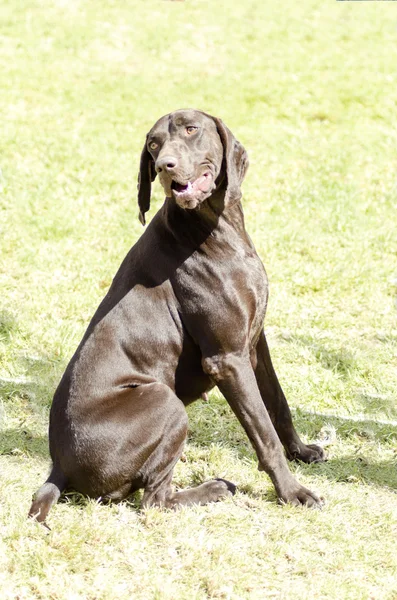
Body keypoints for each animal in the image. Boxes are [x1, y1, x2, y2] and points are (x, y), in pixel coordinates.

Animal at [29, 110, 324, 524]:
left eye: (191, 129)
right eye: (153, 144)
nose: (165, 167)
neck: (216, 228)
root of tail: (58, 467)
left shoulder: (254, 342)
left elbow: (278, 405)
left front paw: (301, 452)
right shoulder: (227, 359)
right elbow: (263, 434)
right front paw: (292, 492)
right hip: (163, 401)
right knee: (154, 500)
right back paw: (213, 489)